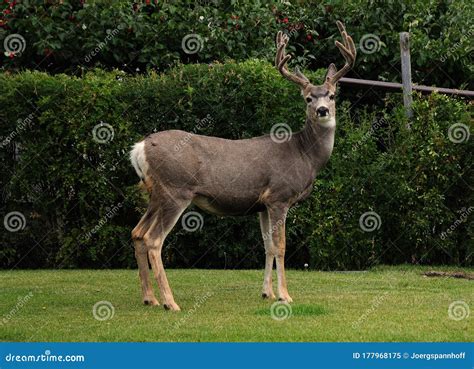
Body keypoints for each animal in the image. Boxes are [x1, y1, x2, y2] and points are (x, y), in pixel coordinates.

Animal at [130, 21, 356, 310]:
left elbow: (268, 246)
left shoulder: (262, 204)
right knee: (153, 239)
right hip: (175, 190)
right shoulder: (279, 196)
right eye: (308, 98)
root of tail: (140, 148)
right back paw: (171, 302)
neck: (304, 154)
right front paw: (285, 295)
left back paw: (150, 298)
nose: (322, 110)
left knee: (137, 232)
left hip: (156, 193)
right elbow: (281, 246)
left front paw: (266, 292)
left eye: (332, 95)